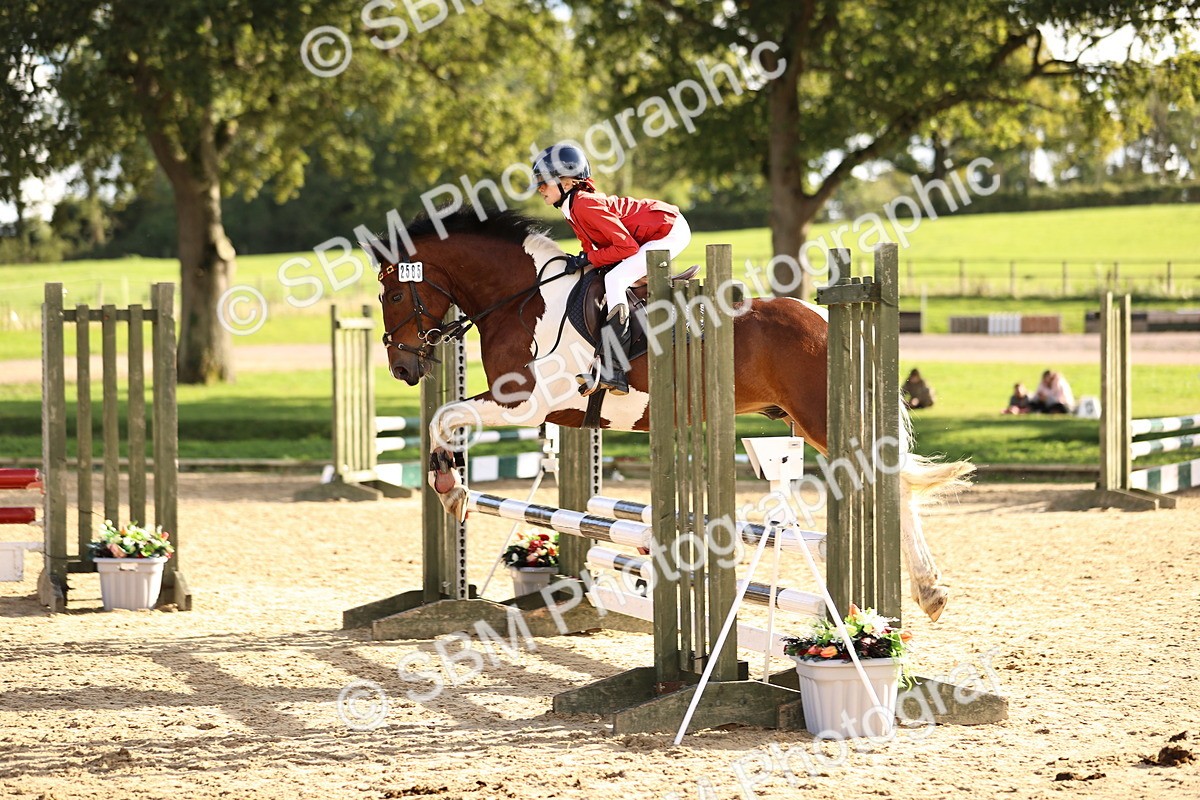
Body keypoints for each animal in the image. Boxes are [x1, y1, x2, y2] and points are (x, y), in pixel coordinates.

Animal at [367, 207, 972, 621]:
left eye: (392, 295)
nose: (402, 367)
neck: (520, 299)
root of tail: (829, 315)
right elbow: (445, 420)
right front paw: (451, 482)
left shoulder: (527, 402)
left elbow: (444, 416)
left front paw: (452, 489)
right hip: (805, 421)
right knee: (892, 486)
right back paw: (925, 592)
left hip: (823, 418)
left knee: (891, 483)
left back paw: (924, 593)